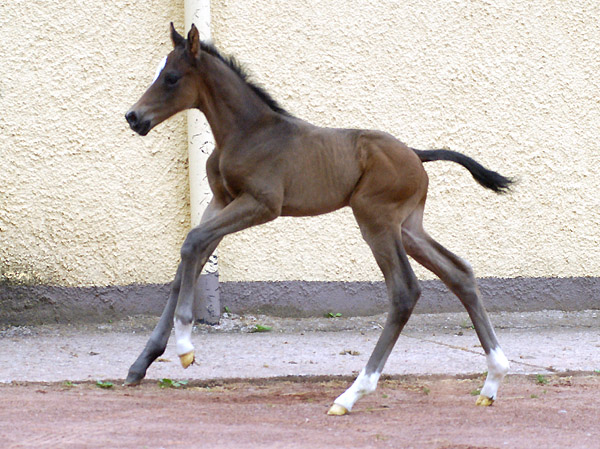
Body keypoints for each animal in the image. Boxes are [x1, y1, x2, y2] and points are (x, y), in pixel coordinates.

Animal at [125, 24, 510, 412]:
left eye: (171, 78)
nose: (133, 117)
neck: (247, 132)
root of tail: (417, 154)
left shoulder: (262, 204)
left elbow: (192, 244)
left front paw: (185, 347)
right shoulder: (221, 201)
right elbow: (191, 257)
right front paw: (142, 362)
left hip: (376, 220)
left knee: (405, 291)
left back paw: (352, 394)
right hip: (408, 227)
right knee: (459, 273)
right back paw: (492, 380)